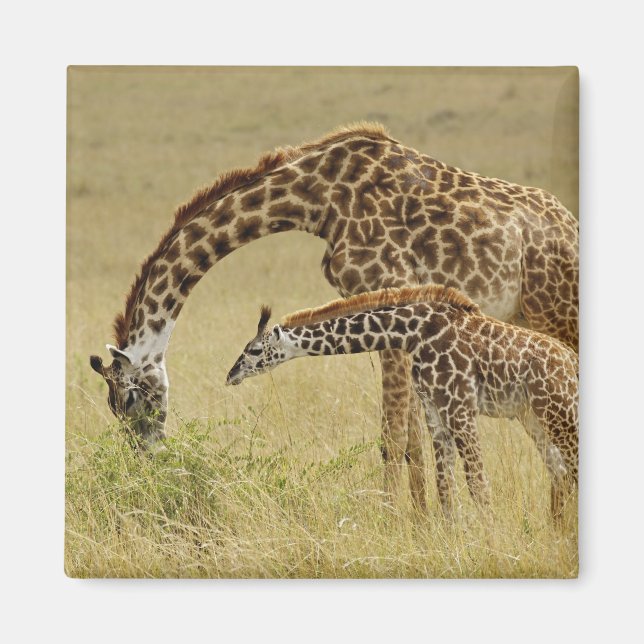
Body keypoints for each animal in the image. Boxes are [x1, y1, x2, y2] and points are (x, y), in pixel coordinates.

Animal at [225, 285, 579, 523]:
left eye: (255, 350)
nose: (231, 375)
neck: (413, 333)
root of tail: (570, 361)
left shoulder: (460, 406)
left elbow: (478, 483)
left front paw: (490, 547)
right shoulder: (436, 410)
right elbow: (445, 486)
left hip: (558, 410)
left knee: (570, 467)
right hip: (532, 416)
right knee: (561, 471)